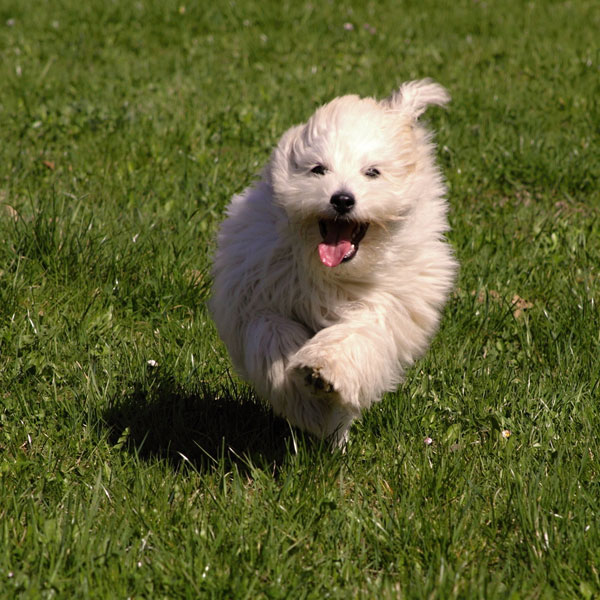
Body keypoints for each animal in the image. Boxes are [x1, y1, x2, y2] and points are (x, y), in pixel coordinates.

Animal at [213, 79, 458, 446]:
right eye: (318, 169)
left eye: (372, 172)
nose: (342, 199)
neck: (333, 271)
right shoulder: (257, 295)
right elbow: (273, 331)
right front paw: (304, 402)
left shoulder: (385, 305)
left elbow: (353, 335)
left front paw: (322, 372)